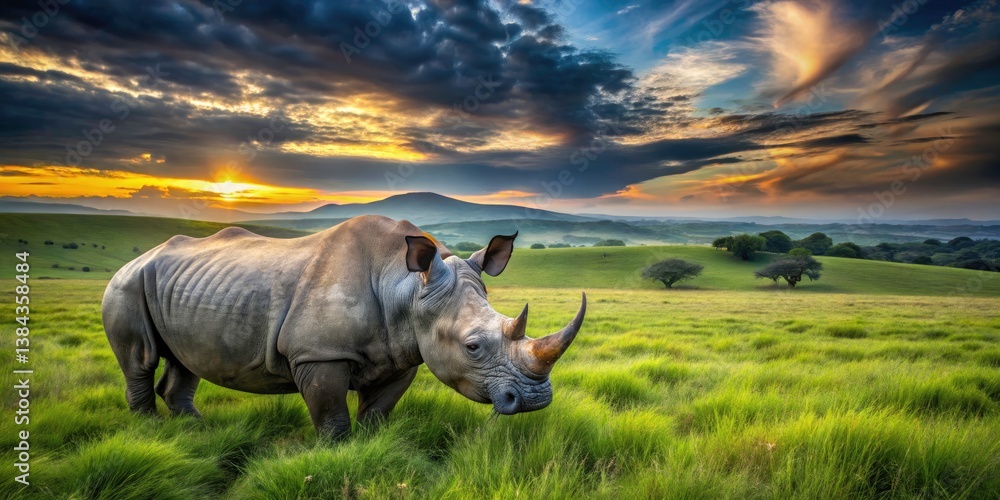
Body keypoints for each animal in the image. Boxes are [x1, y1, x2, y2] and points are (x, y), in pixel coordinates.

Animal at [102, 215, 585, 439]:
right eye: (472, 347)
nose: (536, 400)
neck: (406, 287)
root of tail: (134, 260)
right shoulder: (318, 354)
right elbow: (332, 418)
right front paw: (338, 450)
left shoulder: (403, 353)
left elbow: (377, 413)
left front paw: (371, 446)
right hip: (126, 284)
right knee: (141, 359)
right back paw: (151, 433)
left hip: (178, 286)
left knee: (186, 360)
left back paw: (196, 431)